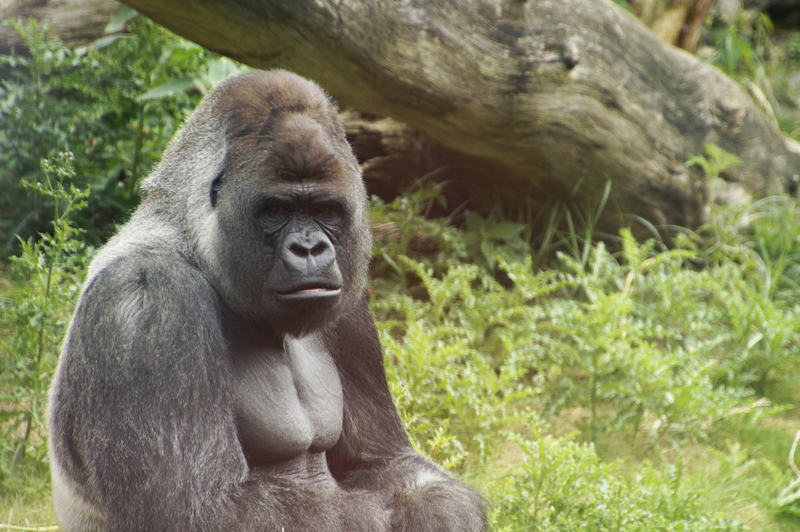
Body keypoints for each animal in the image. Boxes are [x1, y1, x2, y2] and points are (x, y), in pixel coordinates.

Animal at [47, 70, 487, 531]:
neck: (196, 248)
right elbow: (201, 510)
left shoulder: (349, 310)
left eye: (325, 209)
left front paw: (436, 512)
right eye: (276, 209)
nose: (309, 249)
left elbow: (387, 463)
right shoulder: (149, 301)